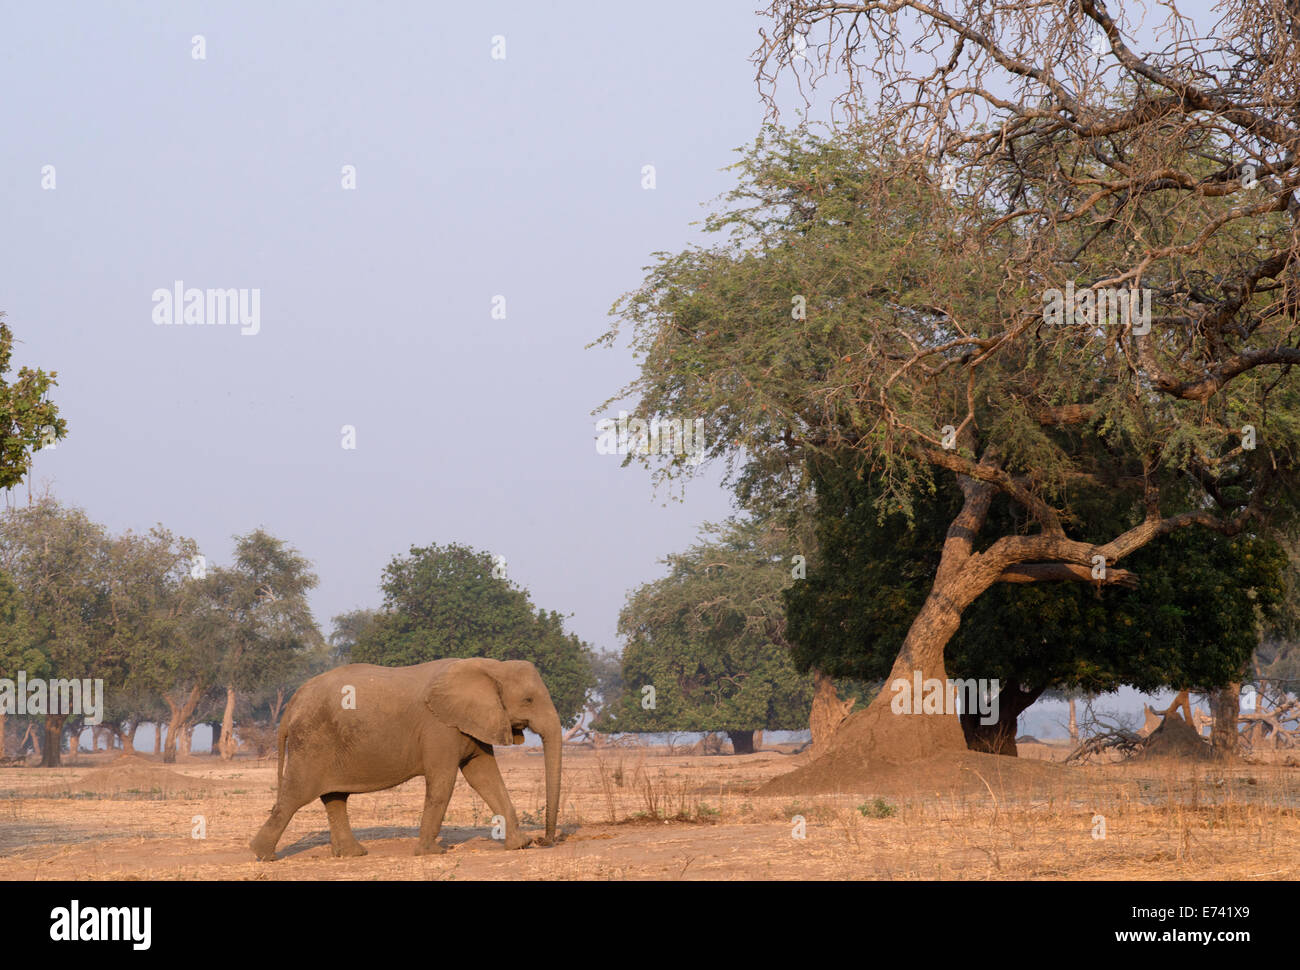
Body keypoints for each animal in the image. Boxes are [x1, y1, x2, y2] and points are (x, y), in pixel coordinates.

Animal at [249, 657, 562, 861]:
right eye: (529, 700)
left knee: (335, 797)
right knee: (297, 794)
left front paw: (519, 845)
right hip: (312, 741)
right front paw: (431, 853)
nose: (544, 841)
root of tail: (292, 702)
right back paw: (263, 855)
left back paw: (352, 854)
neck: (490, 666)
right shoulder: (440, 727)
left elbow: (484, 776)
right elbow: (443, 782)